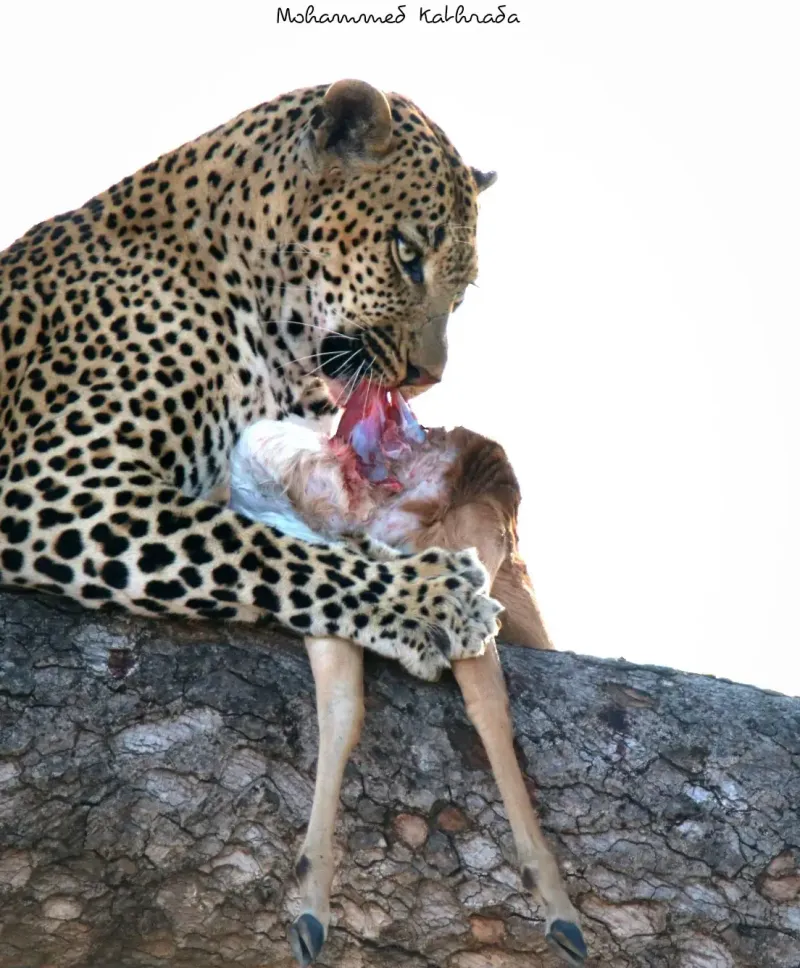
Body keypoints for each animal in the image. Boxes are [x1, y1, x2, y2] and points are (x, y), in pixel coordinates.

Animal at [0, 79, 501, 682]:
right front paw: (428, 599)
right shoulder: (61, 479)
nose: (427, 376)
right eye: (406, 252)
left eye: (463, 292)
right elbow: (264, 550)